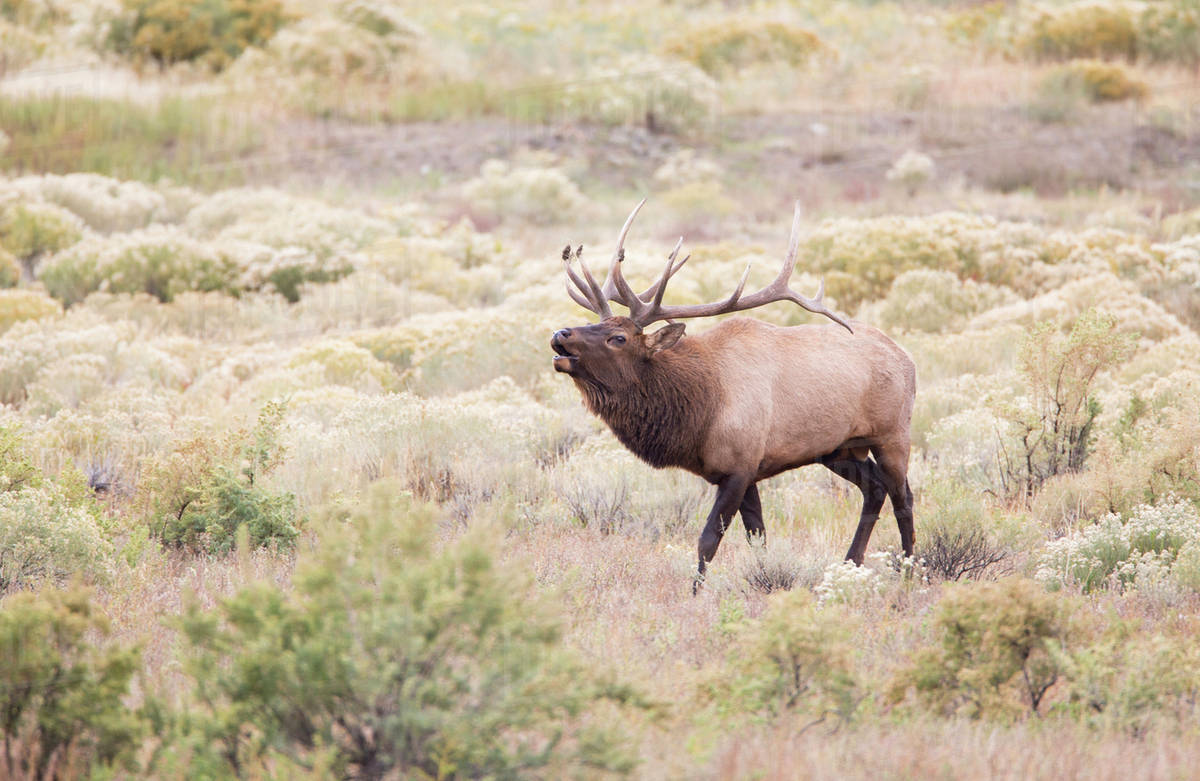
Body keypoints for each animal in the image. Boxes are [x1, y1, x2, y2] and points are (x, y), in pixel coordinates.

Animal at [550, 200, 917, 591]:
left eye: (618, 338)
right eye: (598, 324)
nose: (561, 333)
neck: (701, 409)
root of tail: (907, 359)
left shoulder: (740, 465)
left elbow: (708, 539)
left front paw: (696, 593)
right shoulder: (743, 470)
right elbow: (758, 536)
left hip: (892, 434)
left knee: (903, 497)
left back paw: (910, 570)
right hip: (838, 449)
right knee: (874, 488)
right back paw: (850, 564)